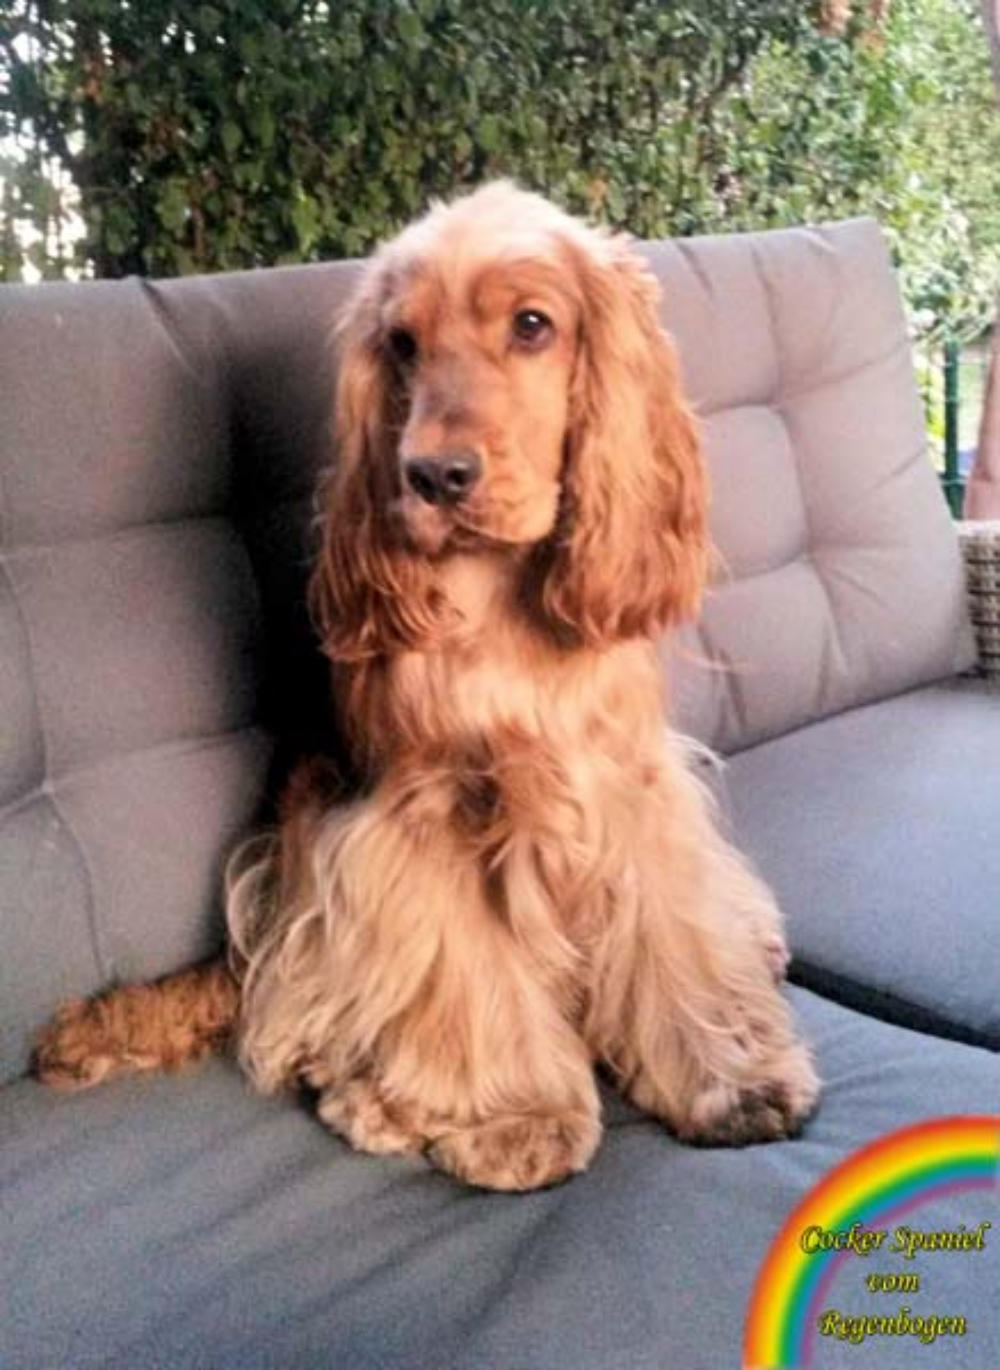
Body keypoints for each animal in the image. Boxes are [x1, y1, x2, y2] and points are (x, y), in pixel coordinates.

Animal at [35, 183, 819, 1191]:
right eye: (403, 344)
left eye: (533, 325)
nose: (433, 476)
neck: (504, 608)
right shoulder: (421, 817)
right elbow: (466, 969)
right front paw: (515, 1117)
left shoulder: (629, 784)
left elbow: (672, 931)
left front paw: (731, 1079)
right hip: (306, 861)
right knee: (297, 1011)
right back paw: (369, 1098)